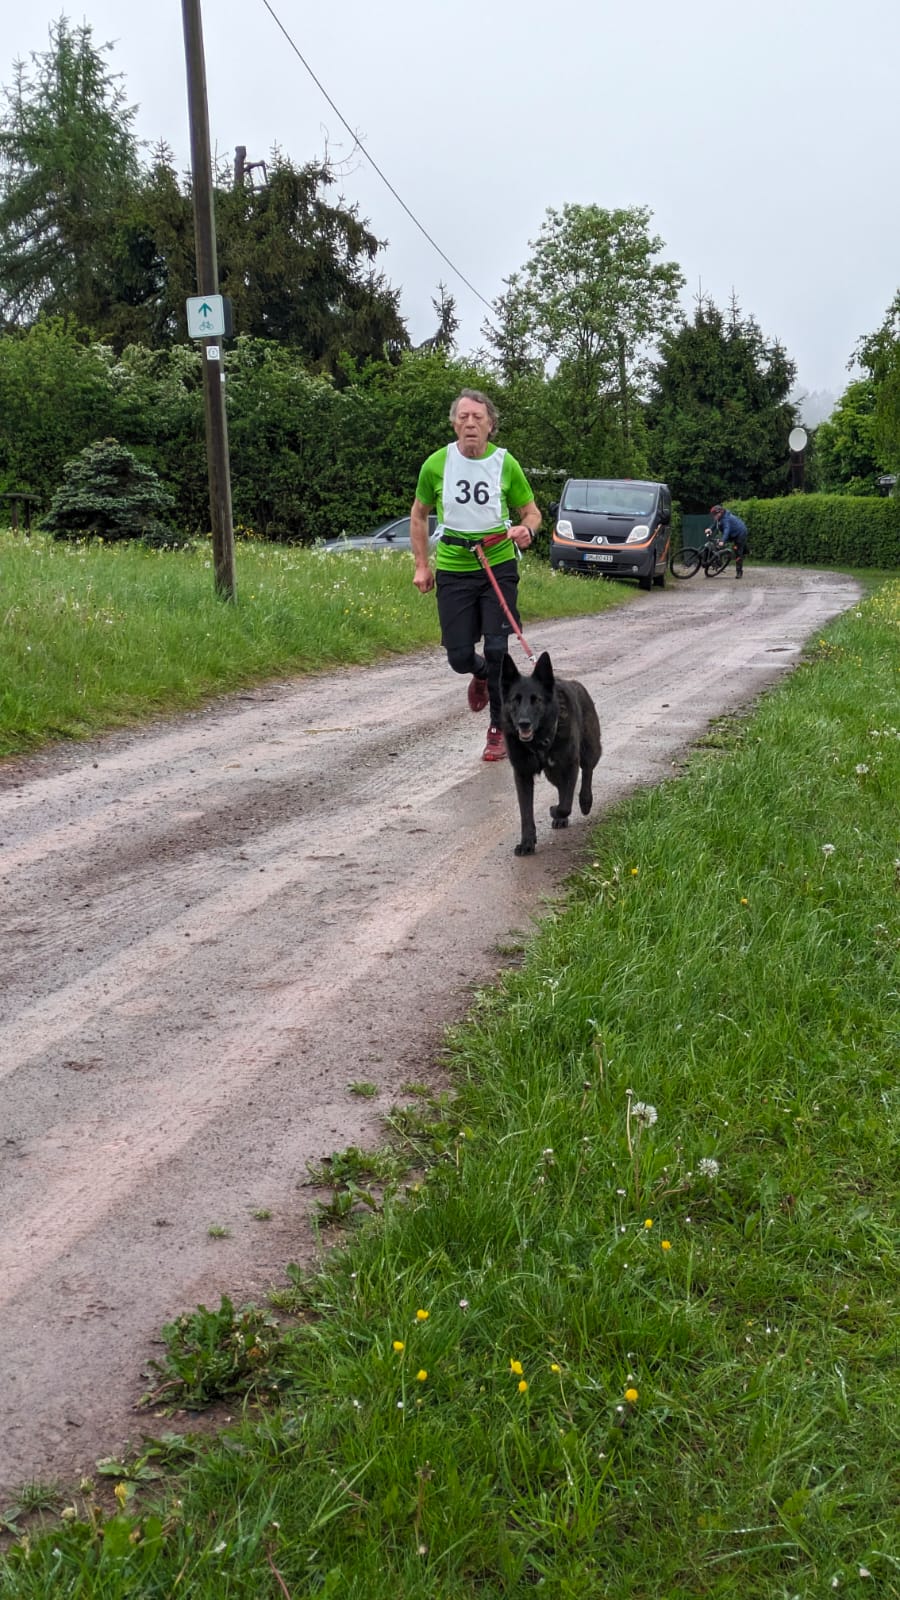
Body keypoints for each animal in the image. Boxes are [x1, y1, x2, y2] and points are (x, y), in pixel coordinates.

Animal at [499, 649, 598, 857]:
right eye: (515, 700)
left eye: (536, 699)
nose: (524, 723)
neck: (538, 743)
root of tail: (577, 685)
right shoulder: (522, 775)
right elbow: (526, 812)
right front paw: (527, 843)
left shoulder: (570, 765)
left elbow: (566, 804)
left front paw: (555, 811)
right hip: (553, 773)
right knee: (561, 787)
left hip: (590, 750)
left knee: (587, 771)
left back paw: (585, 801)